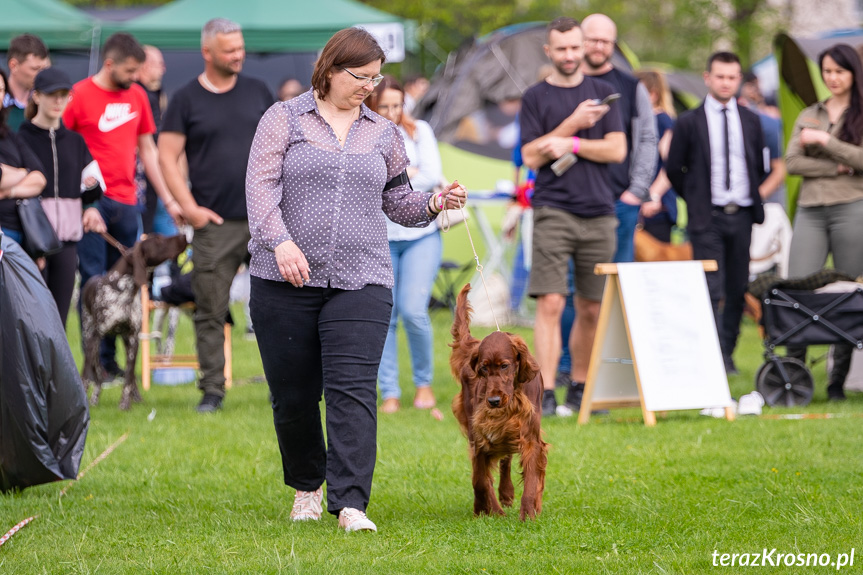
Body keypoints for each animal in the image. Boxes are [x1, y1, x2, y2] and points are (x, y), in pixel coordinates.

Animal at [452, 284, 548, 520]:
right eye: (483, 368)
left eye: (505, 365)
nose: (494, 401)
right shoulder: (479, 436)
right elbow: (480, 479)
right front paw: (488, 509)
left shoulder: (530, 437)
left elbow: (531, 479)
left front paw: (528, 512)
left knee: (507, 458)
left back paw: (507, 493)